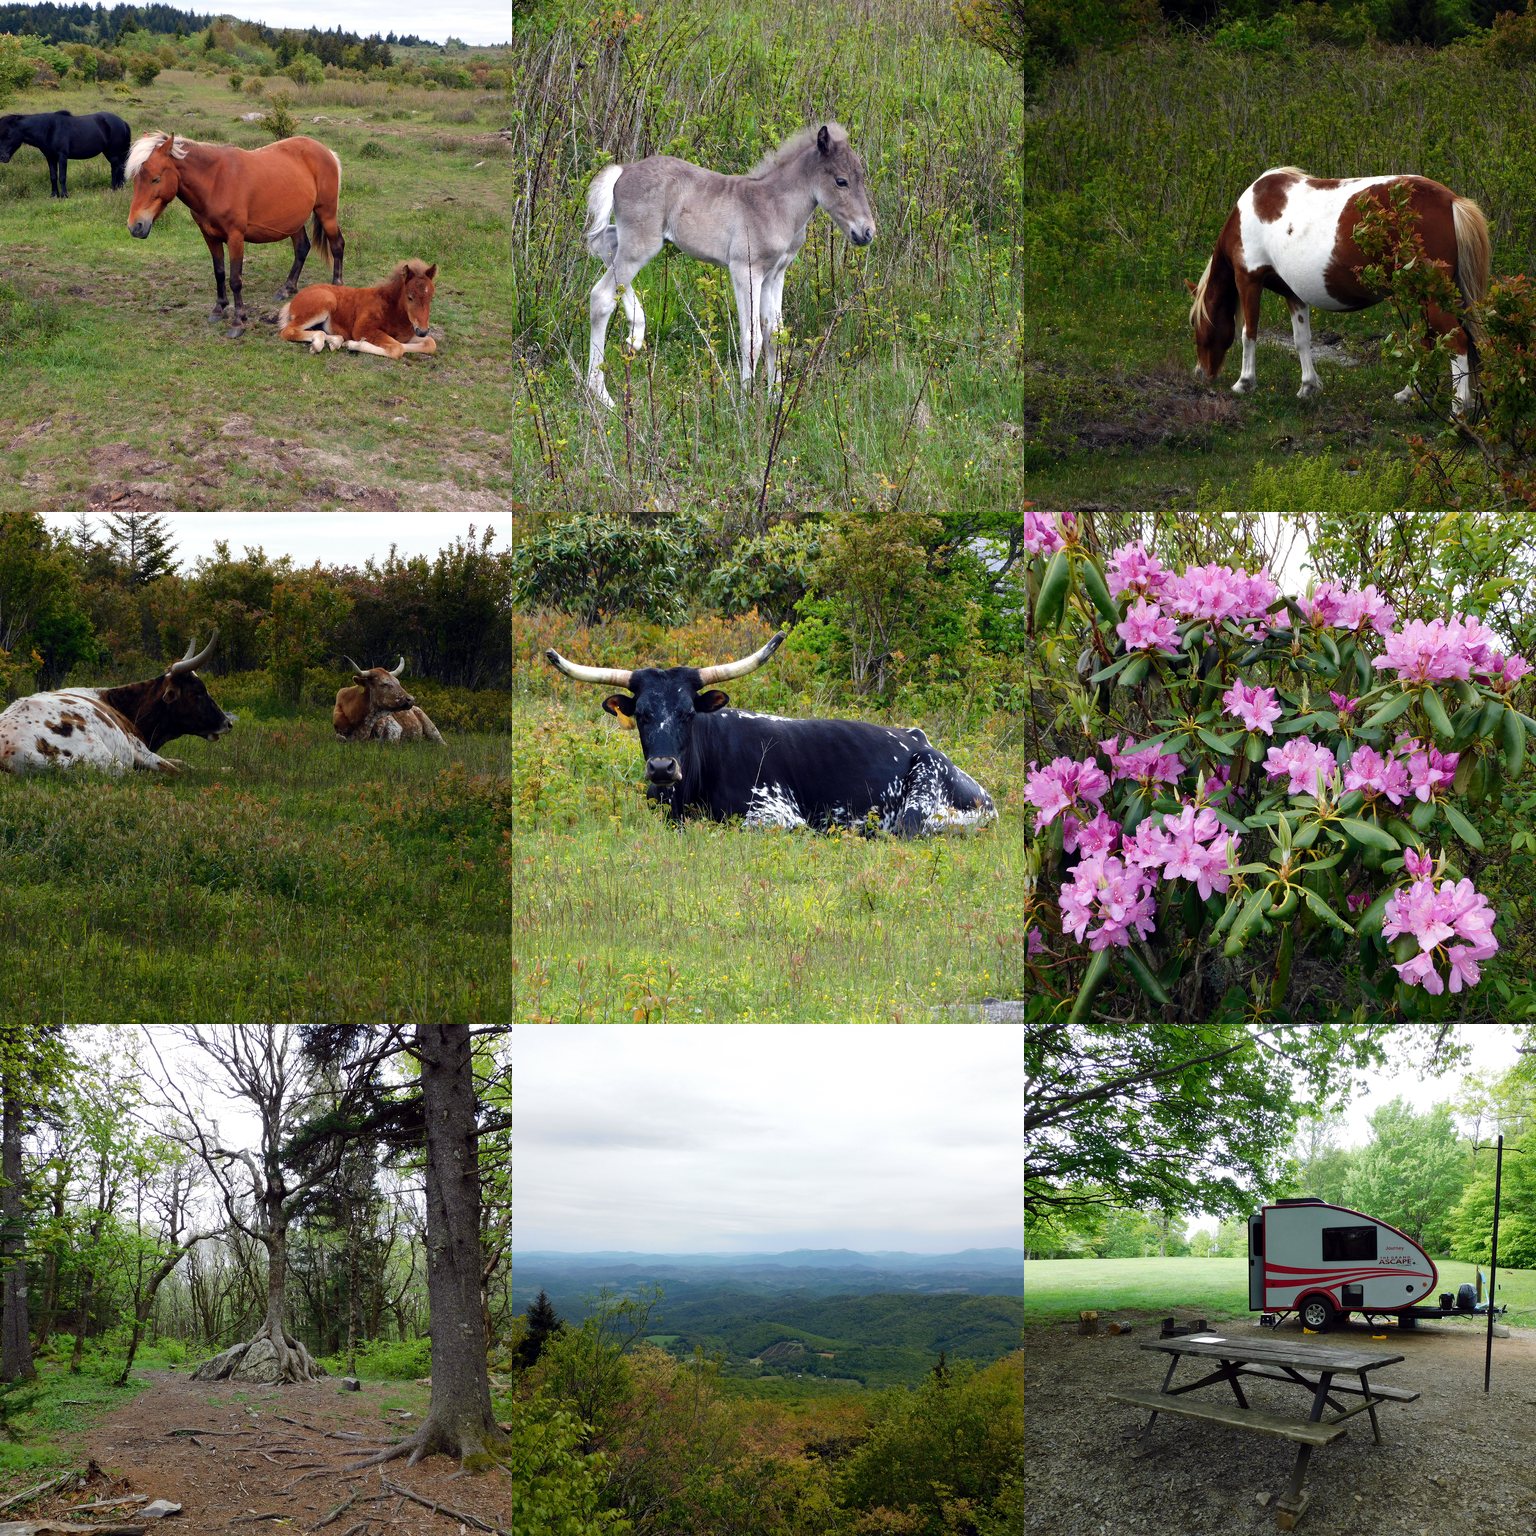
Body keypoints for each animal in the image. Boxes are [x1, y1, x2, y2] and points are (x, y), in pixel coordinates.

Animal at [0, 111, 132, 199]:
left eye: (8, 135)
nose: (2, 157)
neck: (49, 129)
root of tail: (122, 122)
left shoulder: (62, 156)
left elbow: (62, 177)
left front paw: (64, 195)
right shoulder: (50, 157)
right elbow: (53, 176)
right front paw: (54, 195)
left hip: (113, 153)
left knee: (117, 168)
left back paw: (115, 188)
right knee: (117, 168)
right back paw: (118, 188)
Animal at [126, 130, 345, 337]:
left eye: (156, 179)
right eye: (136, 180)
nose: (135, 226)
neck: (215, 181)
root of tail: (327, 152)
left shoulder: (235, 237)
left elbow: (235, 279)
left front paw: (238, 321)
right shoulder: (209, 236)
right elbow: (219, 272)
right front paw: (219, 308)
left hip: (326, 213)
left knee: (337, 245)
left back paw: (337, 286)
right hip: (293, 221)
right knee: (302, 248)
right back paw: (286, 288)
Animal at [279, 264, 439, 362]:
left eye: (431, 297)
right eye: (410, 297)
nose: (422, 331)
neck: (392, 309)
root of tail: (293, 301)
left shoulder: (407, 336)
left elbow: (430, 343)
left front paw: (351, 344)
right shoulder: (363, 328)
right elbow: (397, 348)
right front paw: (353, 345)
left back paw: (334, 342)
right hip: (324, 303)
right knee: (288, 331)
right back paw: (318, 343)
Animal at [580, 122, 878, 408]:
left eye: (861, 178)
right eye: (841, 181)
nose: (867, 232)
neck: (774, 206)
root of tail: (623, 170)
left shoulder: (775, 274)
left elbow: (775, 333)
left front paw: (776, 399)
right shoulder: (746, 270)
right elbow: (752, 338)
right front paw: (746, 402)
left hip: (637, 241)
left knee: (605, 243)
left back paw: (636, 331)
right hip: (642, 244)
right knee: (601, 295)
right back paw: (602, 395)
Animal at [1185, 168, 1486, 411]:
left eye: (1196, 325)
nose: (1201, 373)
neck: (1249, 212)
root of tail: (1451, 201)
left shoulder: (1249, 278)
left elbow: (1249, 333)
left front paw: (1244, 382)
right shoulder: (1293, 293)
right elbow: (1301, 339)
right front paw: (1308, 386)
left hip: (1429, 295)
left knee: (1456, 341)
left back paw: (1459, 408)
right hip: (1424, 296)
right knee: (1429, 342)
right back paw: (1408, 394)